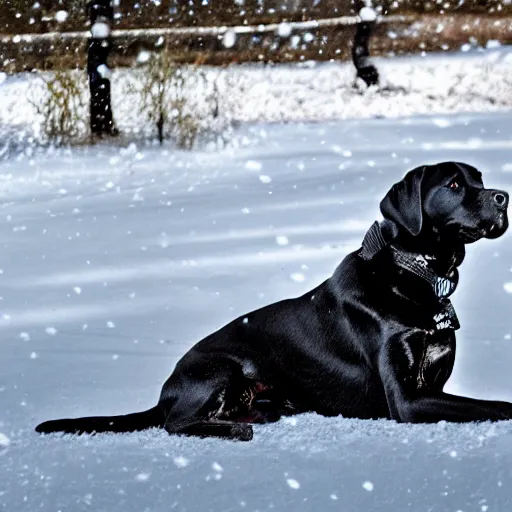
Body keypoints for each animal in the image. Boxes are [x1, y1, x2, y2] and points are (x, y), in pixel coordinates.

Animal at [35, 163, 508, 440]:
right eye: (454, 184)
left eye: (481, 181)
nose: (503, 196)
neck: (417, 273)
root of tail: (168, 388)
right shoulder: (407, 401)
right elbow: (495, 405)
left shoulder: (433, 384)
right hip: (220, 368)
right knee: (174, 423)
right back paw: (235, 431)